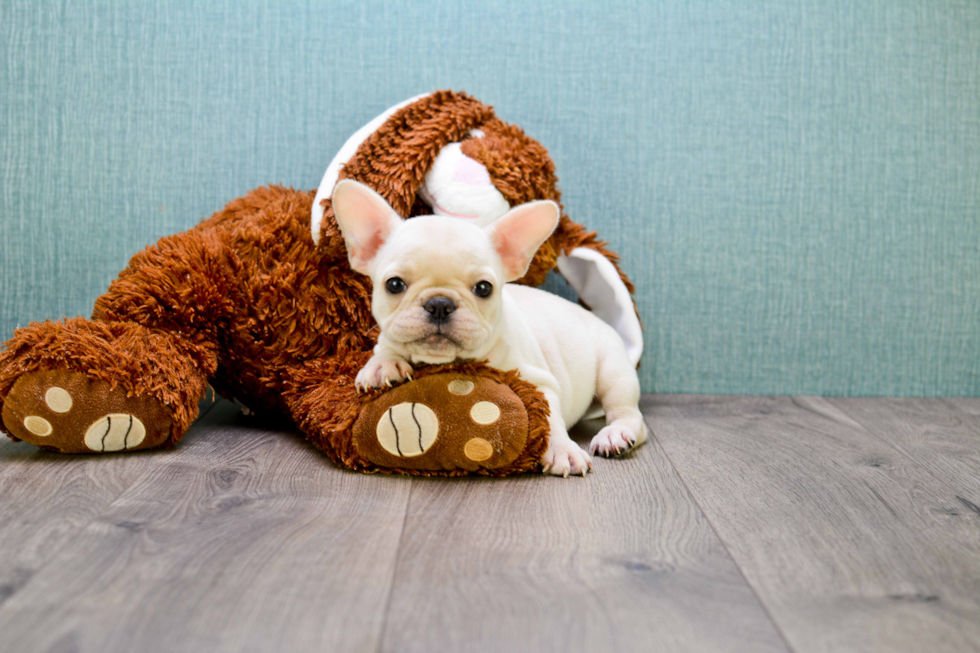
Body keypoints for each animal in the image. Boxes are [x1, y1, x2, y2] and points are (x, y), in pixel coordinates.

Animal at [334, 181, 648, 476]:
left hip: (614, 372)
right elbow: (386, 347)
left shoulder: (540, 382)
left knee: (630, 415)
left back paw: (616, 435)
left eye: (484, 288)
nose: (439, 303)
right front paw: (383, 366)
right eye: (394, 284)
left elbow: (549, 421)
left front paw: (562, 450)